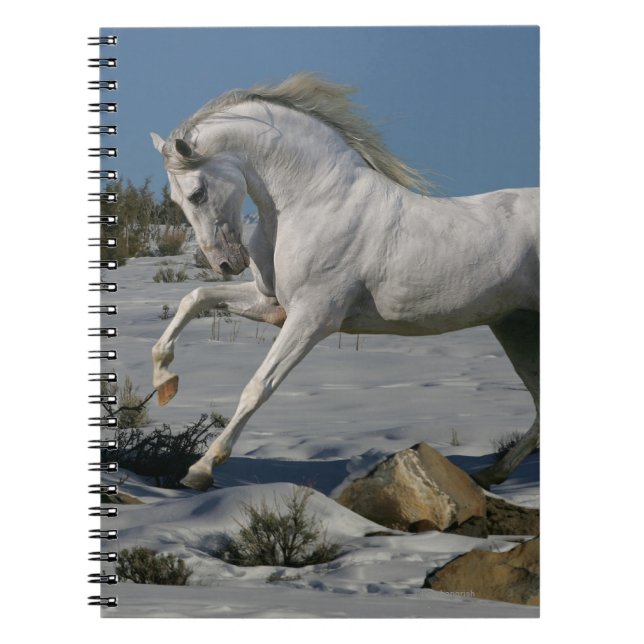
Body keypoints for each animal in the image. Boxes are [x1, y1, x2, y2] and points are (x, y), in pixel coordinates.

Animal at [149, 73, 539, 492]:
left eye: (197, 193)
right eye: (177, 200)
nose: (226, 263)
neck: (315, 201)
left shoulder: (313, 318)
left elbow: (257, 387)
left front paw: (200, 470)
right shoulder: (271, 303)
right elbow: (195, 298)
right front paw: (165, 381)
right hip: (515, 325)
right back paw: (491, 474)